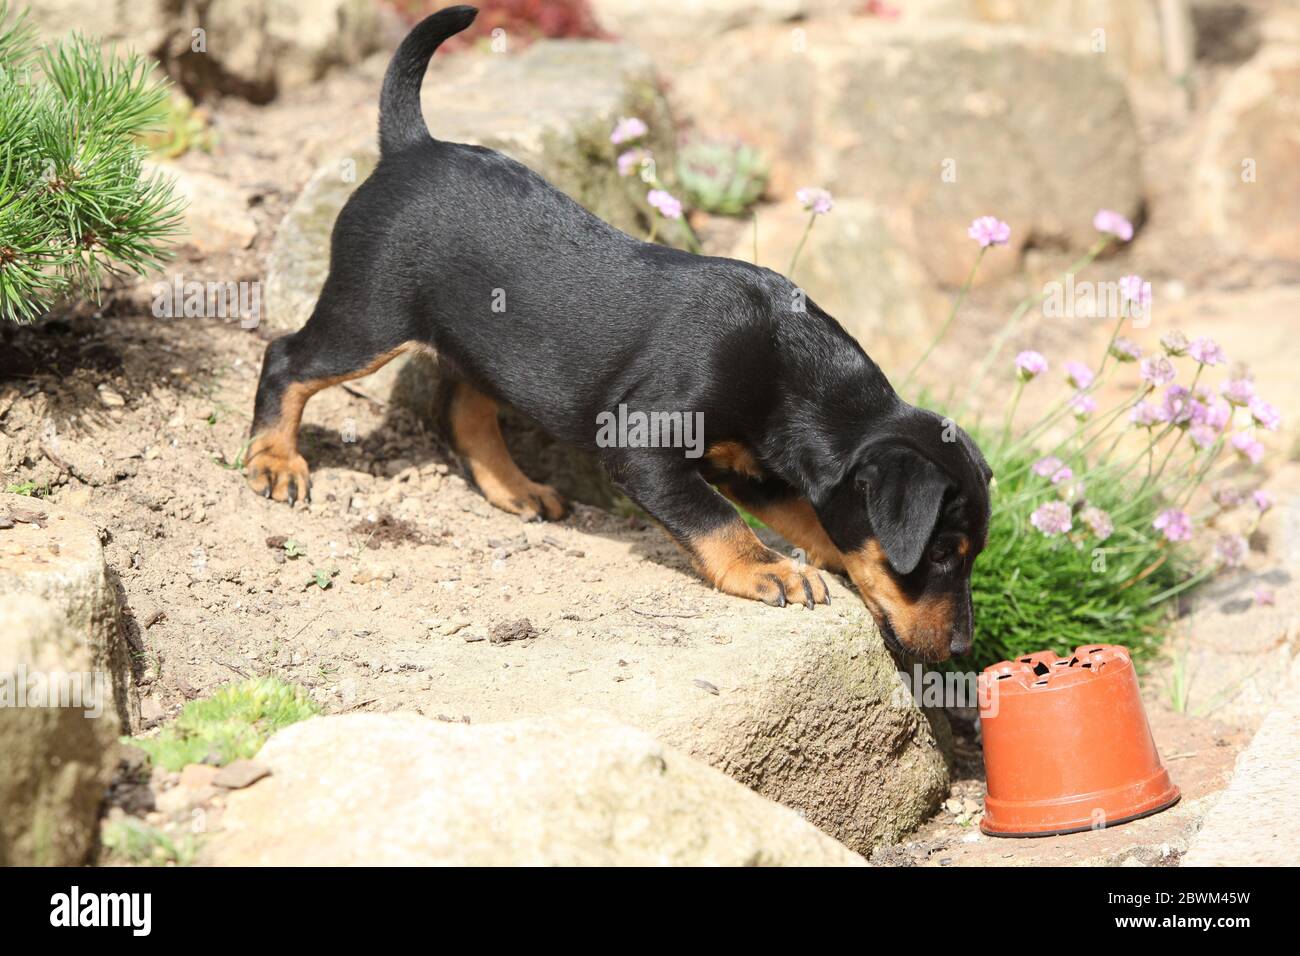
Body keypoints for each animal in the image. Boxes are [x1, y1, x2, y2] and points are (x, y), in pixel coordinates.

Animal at [245, 5, 993, 665]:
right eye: (936, 555)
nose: (963, 651)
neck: (792, 370)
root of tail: (412, 146)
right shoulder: (642, 443)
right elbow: (714, 518)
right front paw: (768, 570)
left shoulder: (756, 468)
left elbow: (808, 517)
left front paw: (816, 559)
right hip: (370, 317)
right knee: (287, 358)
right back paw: (275, 461)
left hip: (481, 341)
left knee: (462, 407)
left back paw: (514, 488)